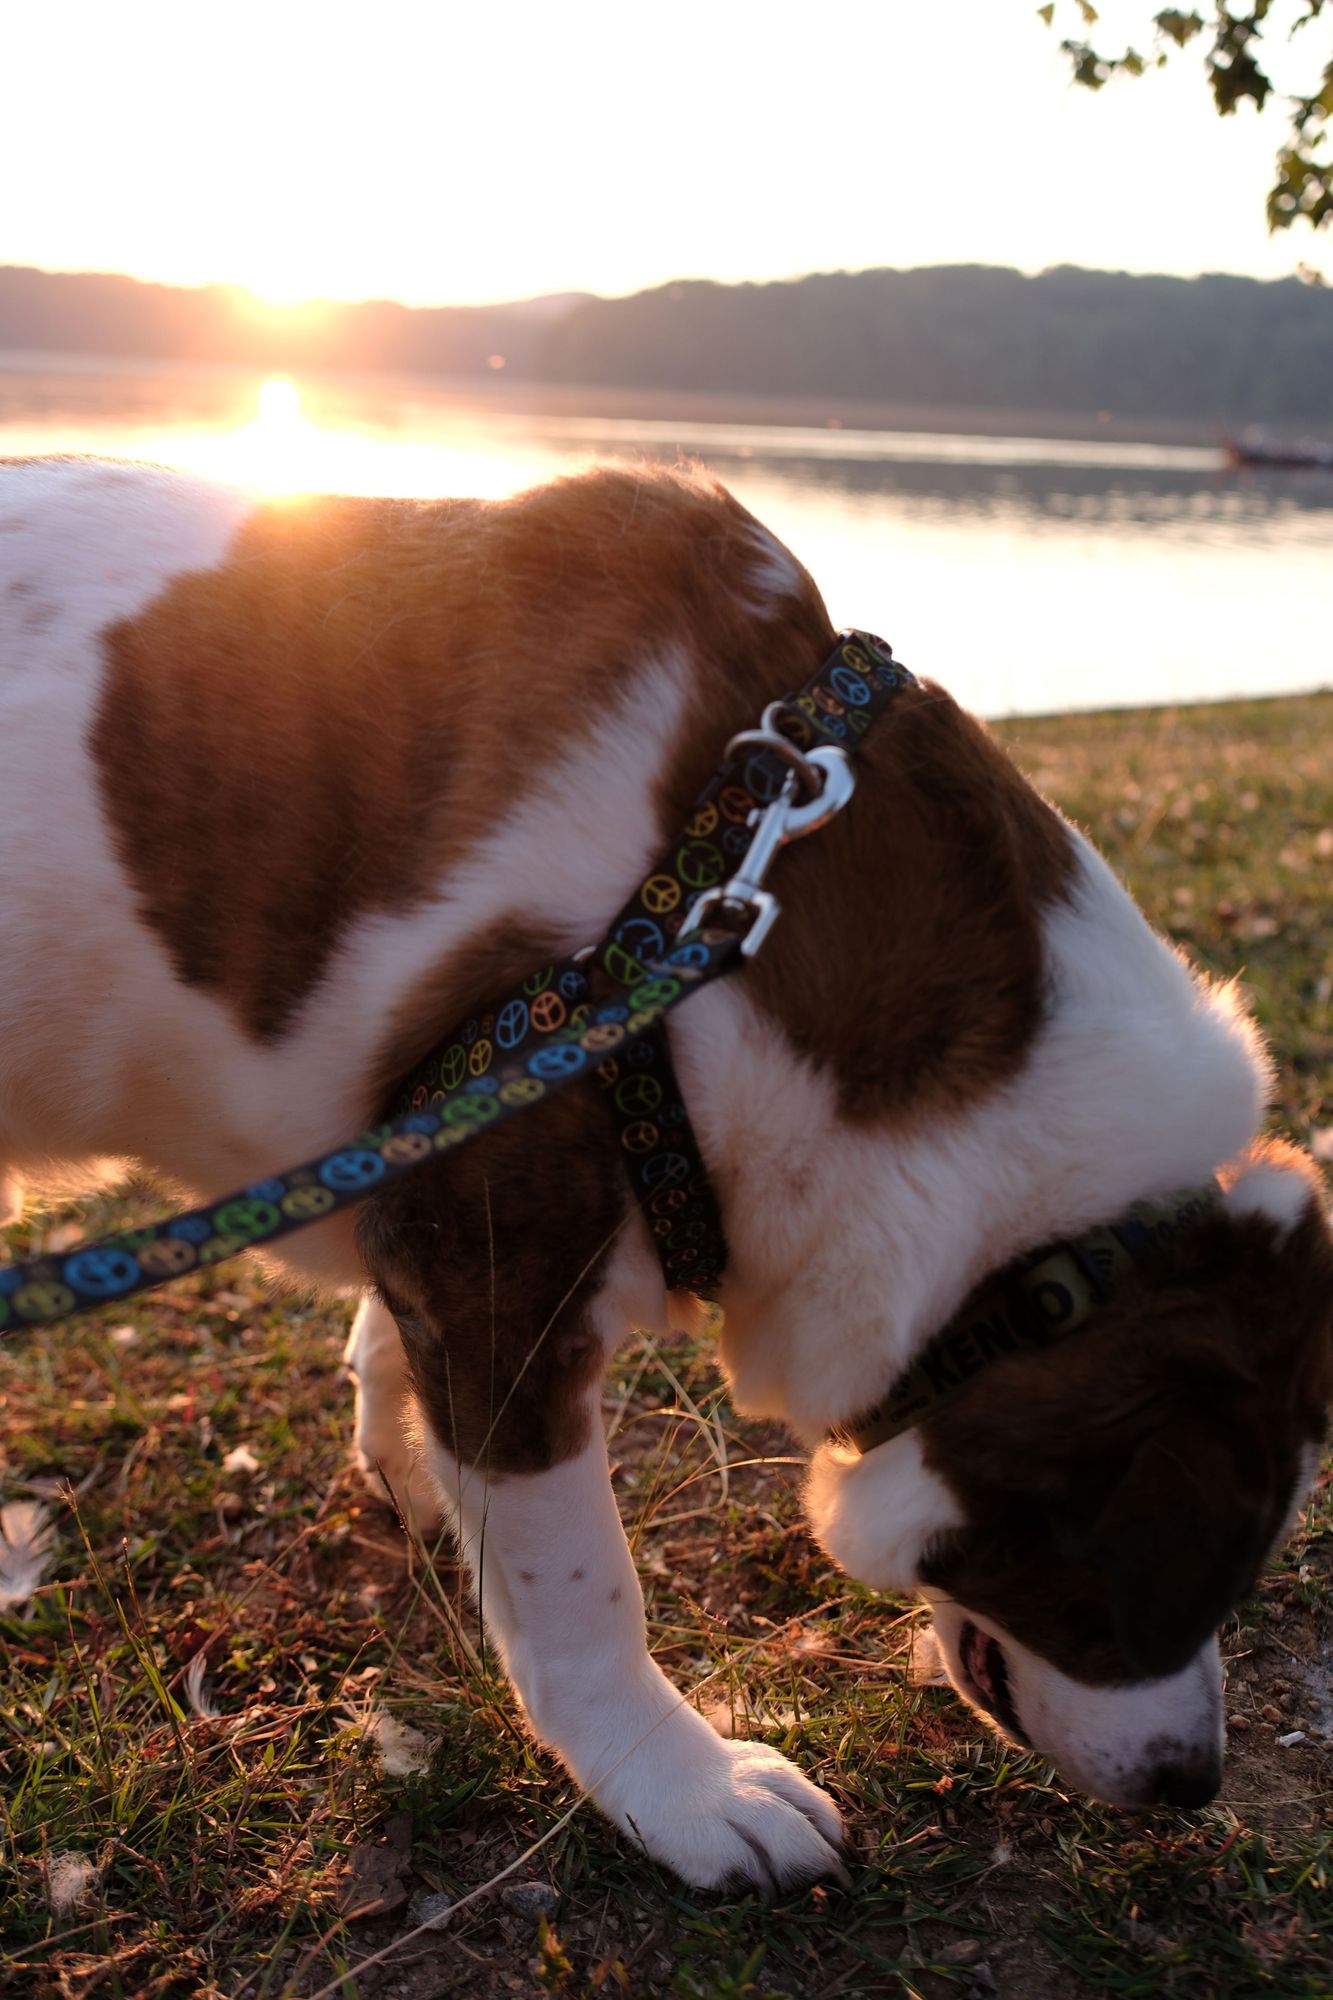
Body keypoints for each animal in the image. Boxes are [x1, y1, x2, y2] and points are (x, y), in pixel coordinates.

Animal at [0, 458, 1320, 1888]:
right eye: (1178, 1554)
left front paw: (410, 1459)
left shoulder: (437, 1159)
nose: (1195, 1781)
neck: (719, 916)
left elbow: (395, 1351)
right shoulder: (500, 1249)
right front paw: (677, 1782)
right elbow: (579, 1584)